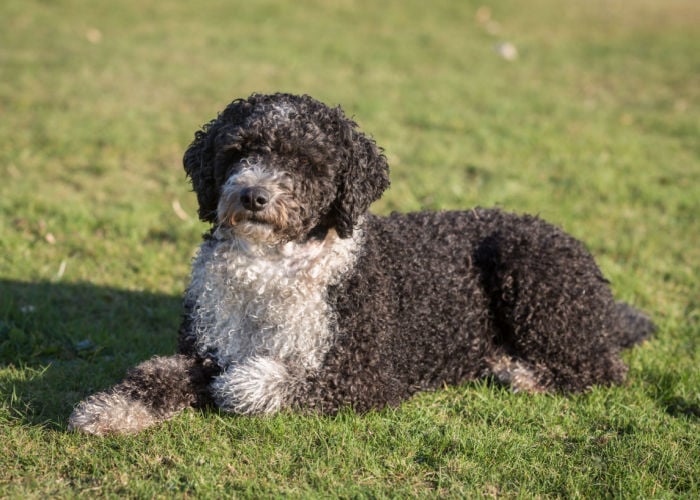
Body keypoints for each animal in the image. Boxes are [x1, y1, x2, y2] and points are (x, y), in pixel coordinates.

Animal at [68, 93, 652, 434]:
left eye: (305, 161)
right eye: (237, 150)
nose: (253, 195)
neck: (273, 267)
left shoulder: (362, 375)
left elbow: (258, 382)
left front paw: (238, 384)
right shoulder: (205, 347)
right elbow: (154, 373)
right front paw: (109, 409)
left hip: (531, 271)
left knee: (602, 368)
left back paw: (524, 374)